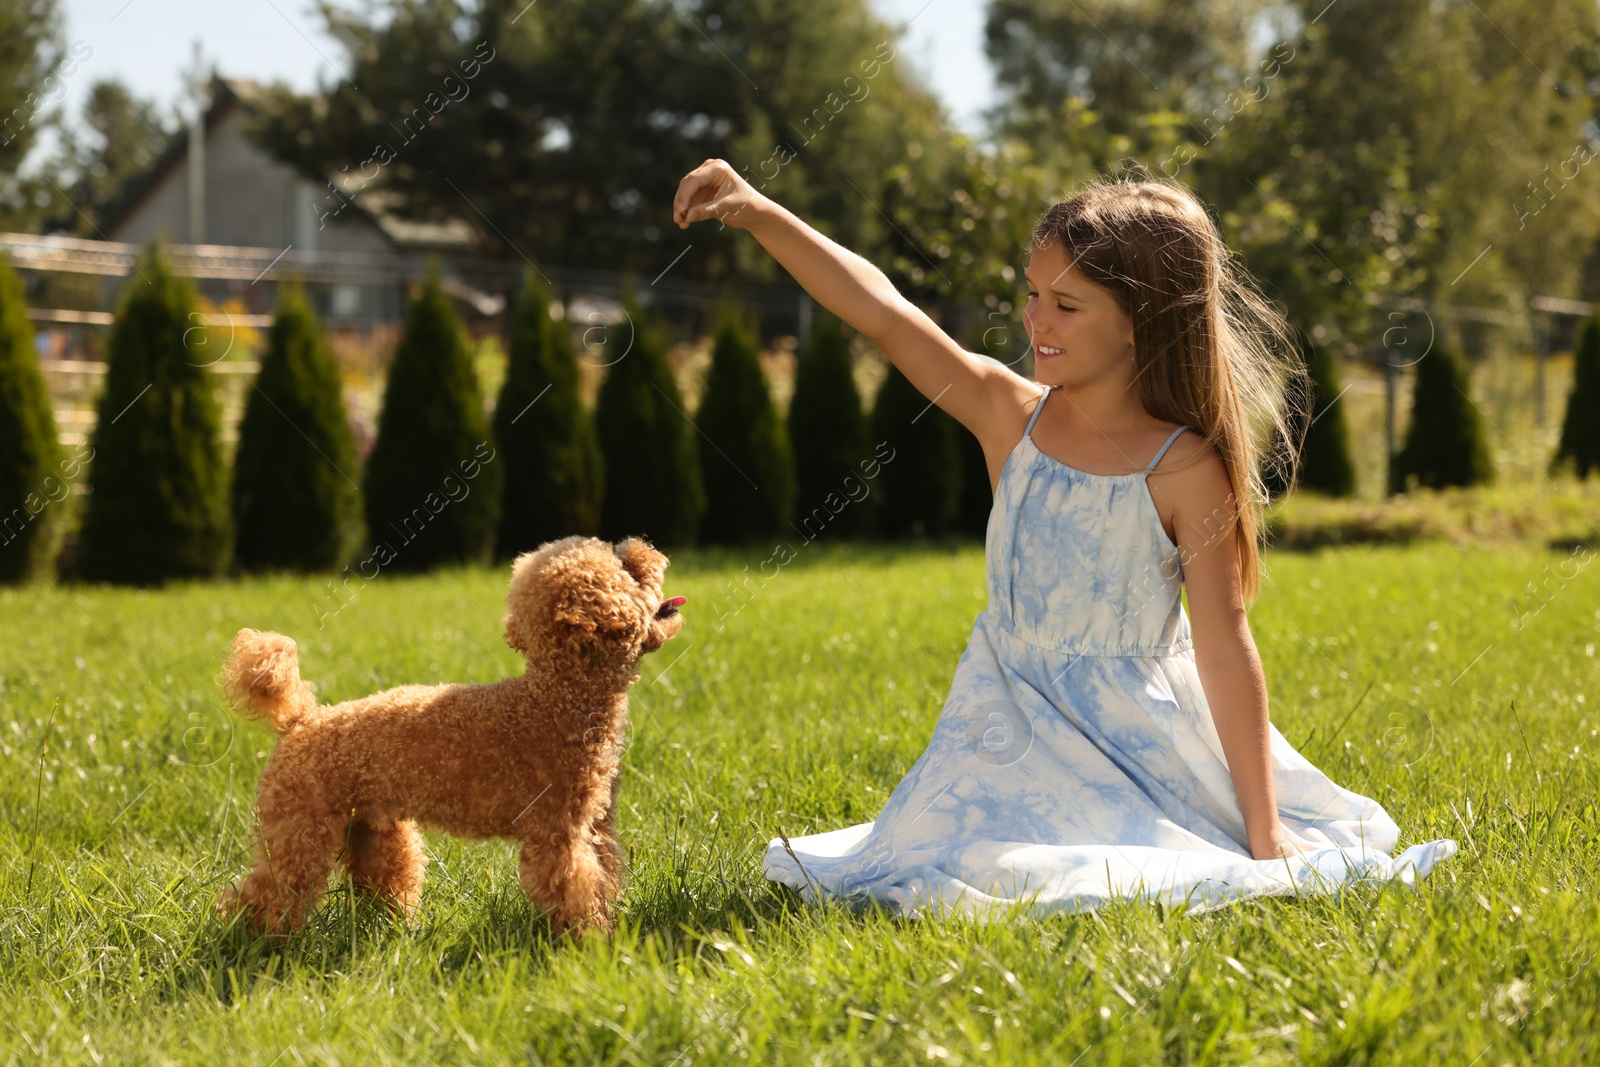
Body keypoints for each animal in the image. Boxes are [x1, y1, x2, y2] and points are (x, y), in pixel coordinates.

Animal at [217, 537, 681, 940]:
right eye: (624, 567)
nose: (642, 547)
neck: (558, 694)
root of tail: (300, 719)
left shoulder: (595, 827)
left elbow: (604, 879)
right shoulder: (558, 835)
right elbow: (576, 892)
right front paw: (593, 944)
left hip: (372, 829)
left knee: (384, 882)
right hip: (299, 827)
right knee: (266, 893)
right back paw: (252, 944)